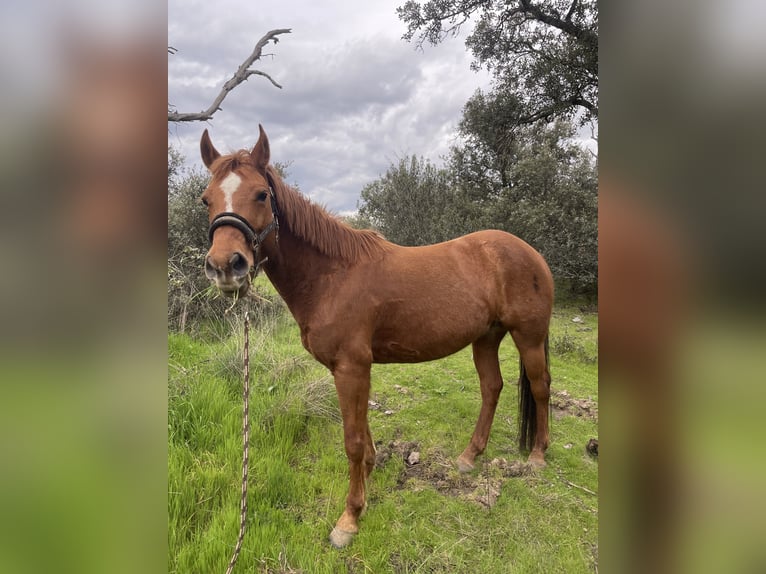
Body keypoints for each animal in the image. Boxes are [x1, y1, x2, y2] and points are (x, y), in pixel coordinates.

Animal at [199, 125, 554, 548]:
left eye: (261, 195)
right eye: (206, 199)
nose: (226, 266)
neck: (331, 276)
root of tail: (533, 253)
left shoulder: (352, 367)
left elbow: (352, 440)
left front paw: (349, 518)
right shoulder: (351, 369)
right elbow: (363, 433)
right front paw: (369, 476)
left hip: (528, 337)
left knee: (540, 387)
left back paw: (537, 456)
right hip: (486, 337)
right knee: (492, 387)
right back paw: (470, 456)